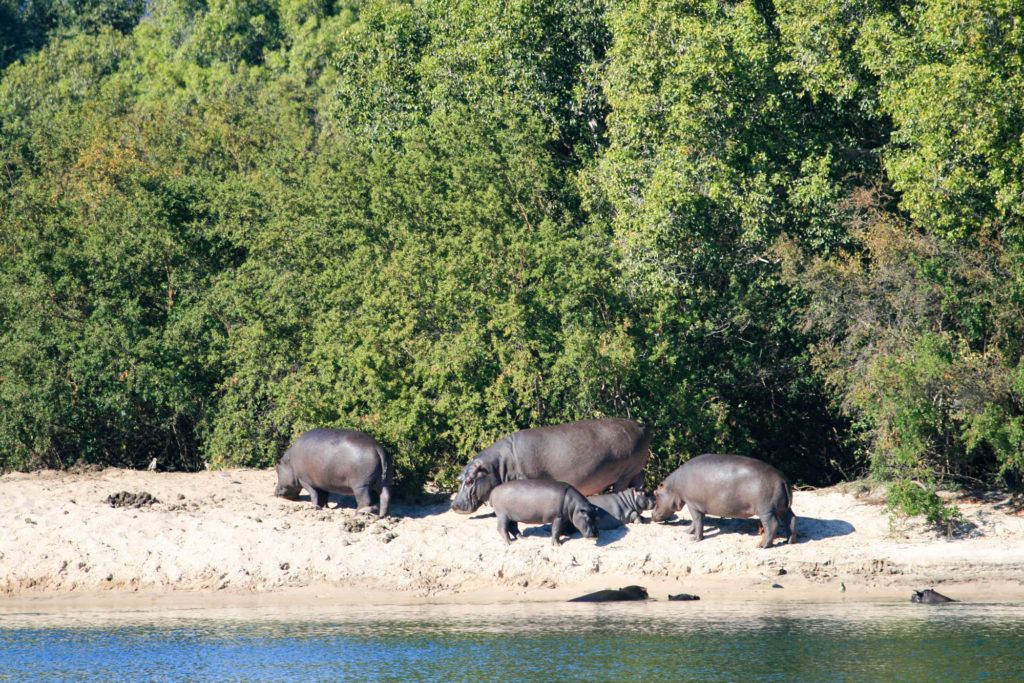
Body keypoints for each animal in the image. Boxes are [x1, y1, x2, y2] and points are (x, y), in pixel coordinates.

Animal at [451, 418, 650, 514]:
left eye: (470, 481)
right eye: (460, 478)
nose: (454, 505)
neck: (498, 466)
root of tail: (640, 426)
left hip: (625, 472)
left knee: (621, 487)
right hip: (636, 469)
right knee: (639, 480)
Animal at [651, 453, 796, 548]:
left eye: (656, 493)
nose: (652, 514)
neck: (674, 487)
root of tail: (783, 479)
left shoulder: (692, 504)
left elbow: (697, 521)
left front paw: (695, 539)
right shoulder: (698, 506)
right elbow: (695, 522)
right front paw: (686, 532)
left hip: (766, 510)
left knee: (772, 525)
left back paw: (762, 546)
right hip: (783, 508)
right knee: (791, 519)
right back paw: (789, 541)